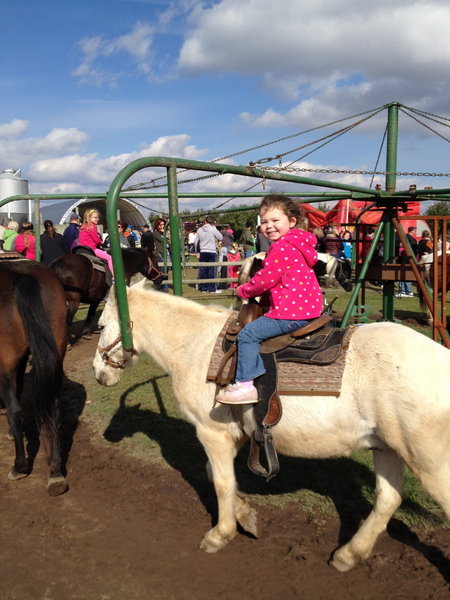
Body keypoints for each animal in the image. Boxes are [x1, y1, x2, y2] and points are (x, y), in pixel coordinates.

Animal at [93, 282, 448, 572]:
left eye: (101, 325)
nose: (97, 373)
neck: (195, 345)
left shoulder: (212, 433)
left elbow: (221, 482)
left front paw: (221, 534)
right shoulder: (235, 433)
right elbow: (214, 474)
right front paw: (246, 516)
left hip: (430, 464)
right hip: (387, 448)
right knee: (389, 498)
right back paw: (349, 554)